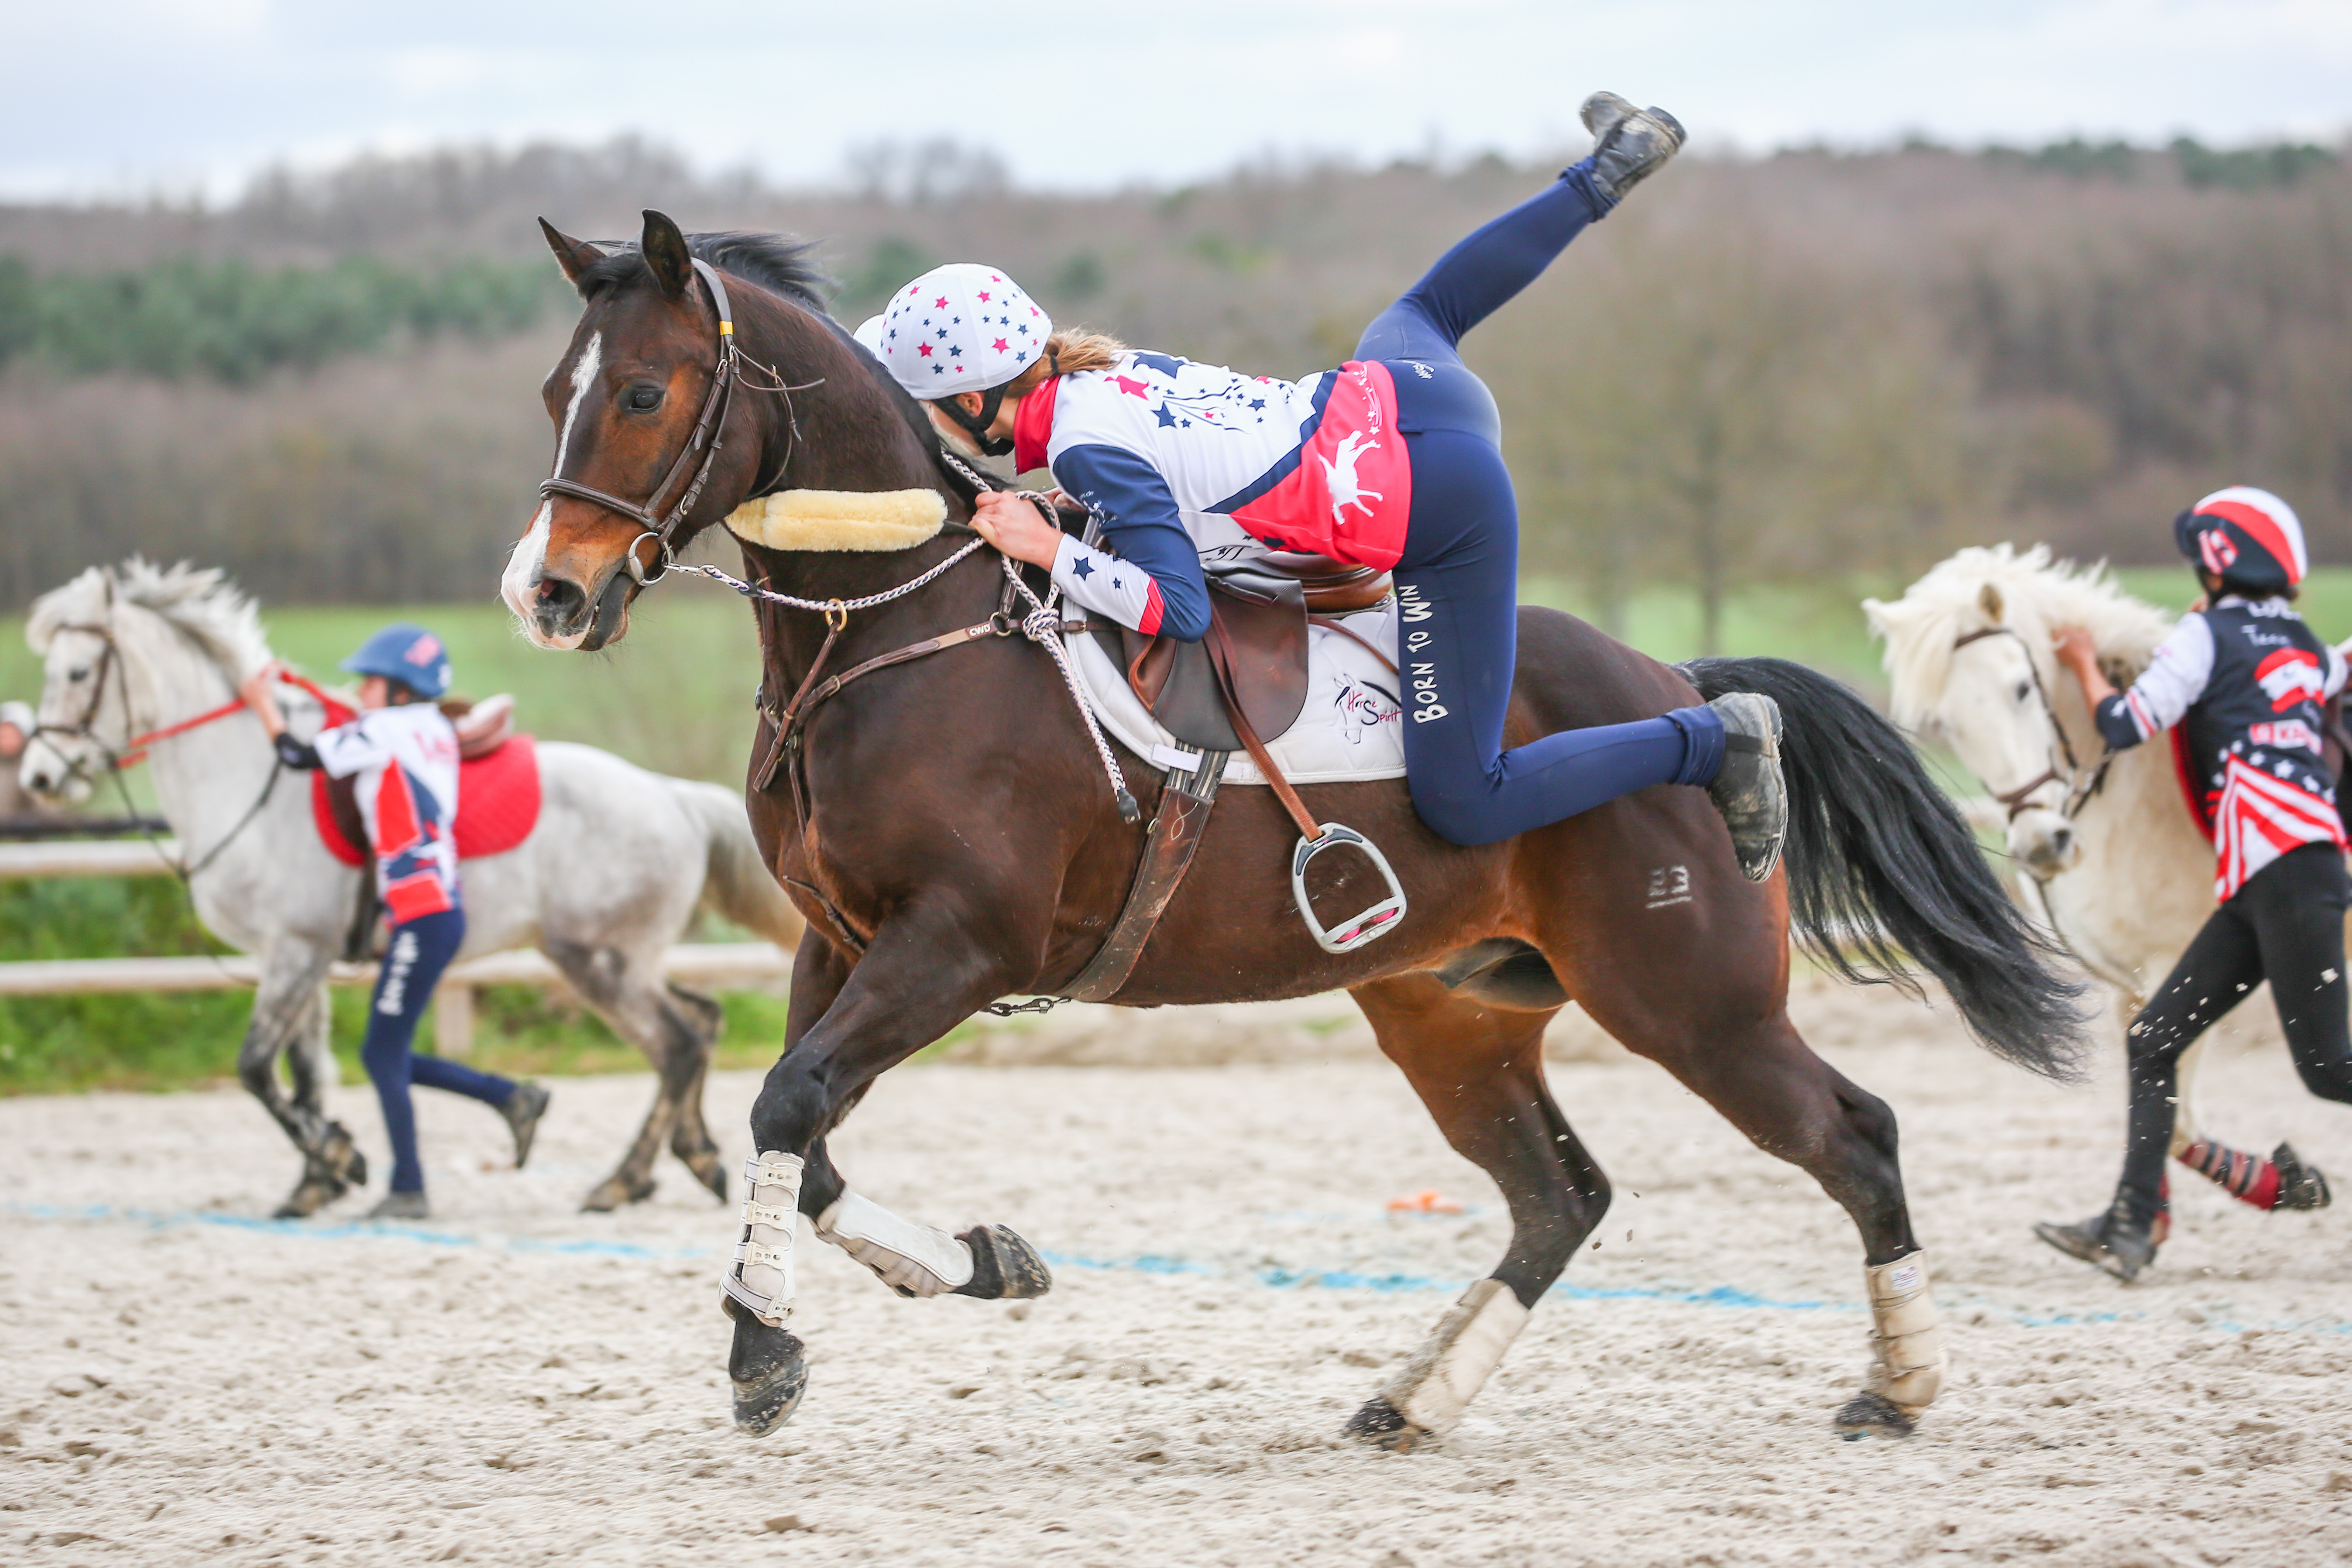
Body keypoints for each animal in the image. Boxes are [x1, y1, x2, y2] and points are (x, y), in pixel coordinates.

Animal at [16, 557, 809, 1222]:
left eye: (80, 672)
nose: (41, 777)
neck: (251, 781)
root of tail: (673, 797)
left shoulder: (294, 952)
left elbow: (257, 1069)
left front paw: (338, 1157)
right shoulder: (296, 959)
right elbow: (305, 1073)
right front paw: (316, 1178)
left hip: (597, 961)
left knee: (677, 1044)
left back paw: (622, 1178)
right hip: (623, 959)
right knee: (700, 1024)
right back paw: (684, 1159)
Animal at [510, 215, 2079, 1457]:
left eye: (641, 391)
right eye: (551, 394)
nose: (546, 594)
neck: (896, 630)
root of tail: (1670, 678)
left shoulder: (956, 944)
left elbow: (789, 1107)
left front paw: (764, 1347)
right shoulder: (840, 944)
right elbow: (804, 1126)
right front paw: (971, 1262)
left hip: (1690, 1000)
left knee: (1850, 1134)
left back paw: (1895, 1379)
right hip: (1447, 1008)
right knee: (1557, 1197)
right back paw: (1414, 1395)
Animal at [1872, 545, 2333, 1222]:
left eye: (2020, 688)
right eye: (1944, 724)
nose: (2041, 845)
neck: (2130, 780)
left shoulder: (2178, 964)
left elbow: (2175, 1118)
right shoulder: (2134, 983)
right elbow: (2165, 1122)